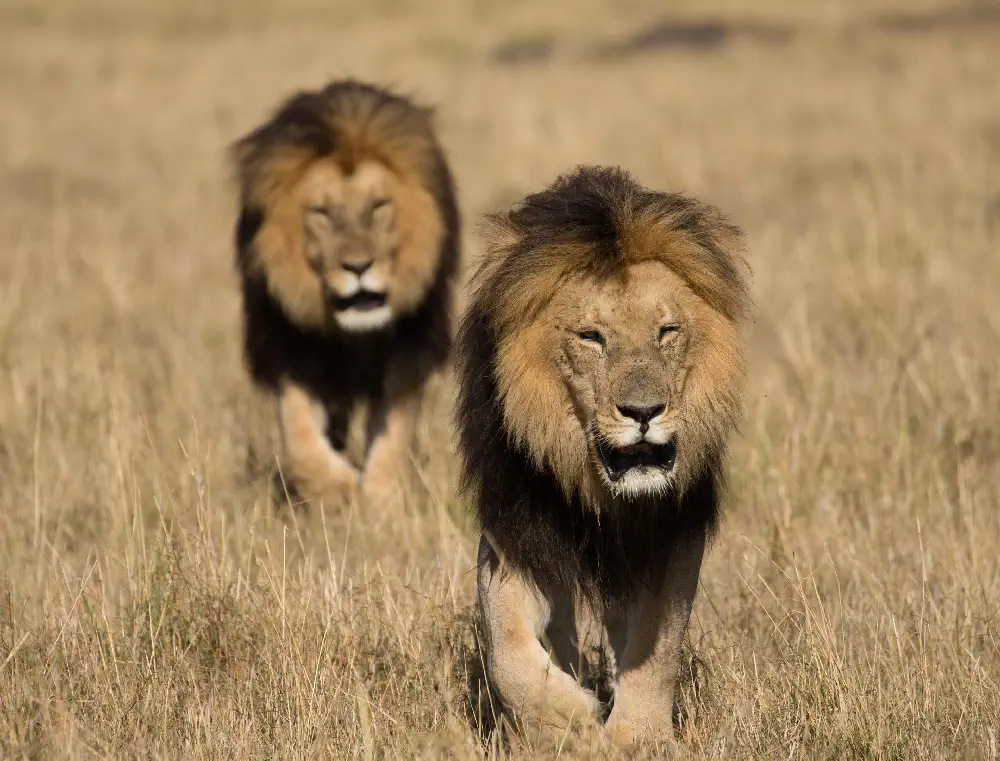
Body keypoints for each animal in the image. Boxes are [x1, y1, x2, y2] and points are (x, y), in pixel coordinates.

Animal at [231, 80, 459, 510]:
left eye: (378, 206)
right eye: (322, 213)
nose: (358, 267)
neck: (352, 335)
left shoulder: (407, 350)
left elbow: (392, 435)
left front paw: (383, 503)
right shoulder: (289, 350)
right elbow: (300, 433)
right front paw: (335, 489)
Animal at [455, 166, 750, 746]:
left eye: (667, 331)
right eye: (591, 337)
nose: (643, 411)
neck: (605, 494)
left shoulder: (671, 539)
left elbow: (657, 649)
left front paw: (639, 737)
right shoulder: (516, 536)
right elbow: (507, 651)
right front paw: (566, 724)